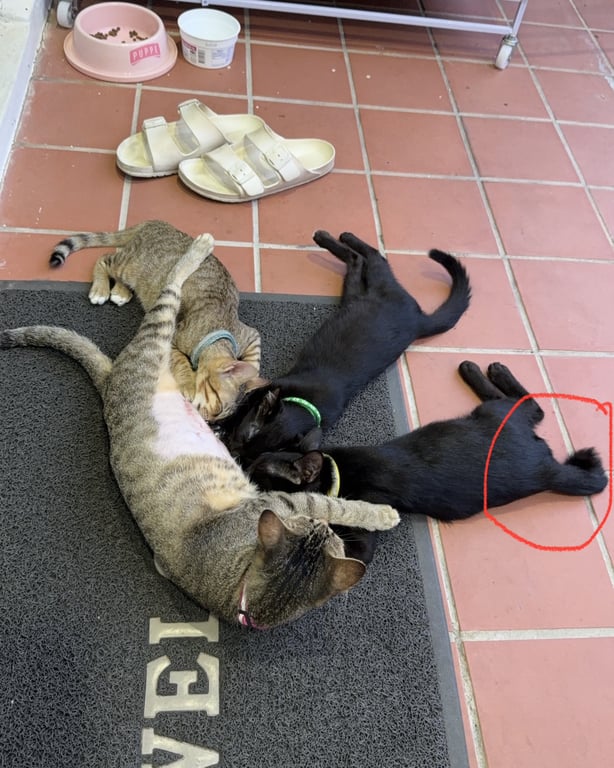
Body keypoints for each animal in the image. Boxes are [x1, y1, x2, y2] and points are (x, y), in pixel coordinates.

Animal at [49, 219, 263, 421]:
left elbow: (255, 361)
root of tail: (155, 222)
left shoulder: (250, 334)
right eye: (217, 408)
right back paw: (101, 289)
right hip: (130, 265)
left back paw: (120, 291)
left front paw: (252, 381)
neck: (219, 330)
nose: (208, 421)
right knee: (104, 259)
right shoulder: (175, 337)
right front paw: (188, 383)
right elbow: (180, 361)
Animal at [218, 229, 471, 464]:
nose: (232, 450)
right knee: (373, 257)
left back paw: (330, 238)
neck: (308, 402)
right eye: (244, 437)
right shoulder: (270, 386)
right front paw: (222, 423)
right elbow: (239, 408)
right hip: (373, 284)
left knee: (357, 260)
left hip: (355, 289)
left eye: (251, 455)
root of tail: (419, 318)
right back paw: (333, 236)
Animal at [246, 361, 608, 564]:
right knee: (531, 407)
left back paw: (482, 369)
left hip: (494, 415)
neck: (337, 469)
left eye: (259, 473)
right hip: (495, 416)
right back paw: (483, 368)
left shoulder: (362, 542)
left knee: (532, 405)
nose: (244, 469)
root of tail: (546, 464)